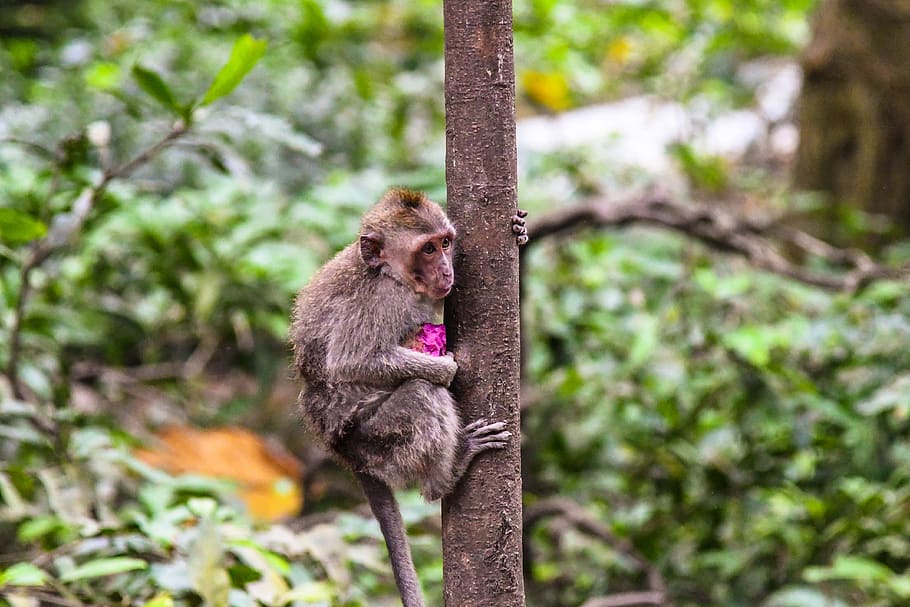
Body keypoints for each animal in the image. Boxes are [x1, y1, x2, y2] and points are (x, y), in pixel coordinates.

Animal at [290, 189, 528, 607]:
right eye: (427, 249)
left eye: (446, 244)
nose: (447, 271)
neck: (389, 274)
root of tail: (341, 450)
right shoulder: (383, 301)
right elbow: (353, 360)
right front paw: (446, 369)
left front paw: (518, 230)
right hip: (372, 437)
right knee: (421, 394)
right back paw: (447, 474)